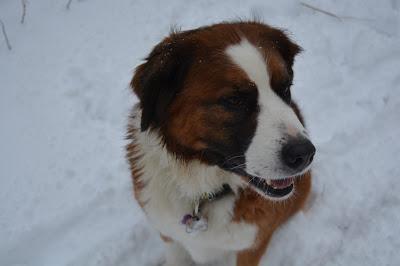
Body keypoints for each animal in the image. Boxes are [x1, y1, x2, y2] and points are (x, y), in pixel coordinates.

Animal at [126, 21, 314, 266]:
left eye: (285, 88)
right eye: (234, 100)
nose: (305, 154)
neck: (202, 190)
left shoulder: (250, 247)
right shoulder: (170, 238)